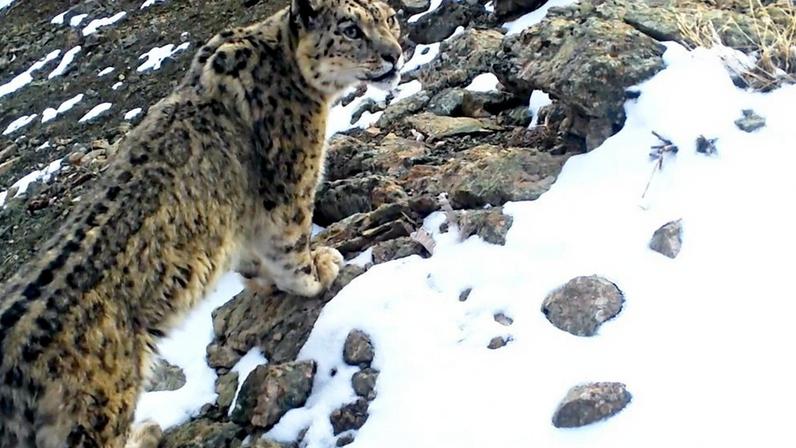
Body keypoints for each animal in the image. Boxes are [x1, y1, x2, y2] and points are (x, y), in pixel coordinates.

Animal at [0, 0, 402, 446]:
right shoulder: (289, 187)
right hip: (97, 413)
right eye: (350, 30)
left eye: (389, 18)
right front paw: (319, 271)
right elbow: (291, 248)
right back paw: (147, 431)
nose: (395, 54)